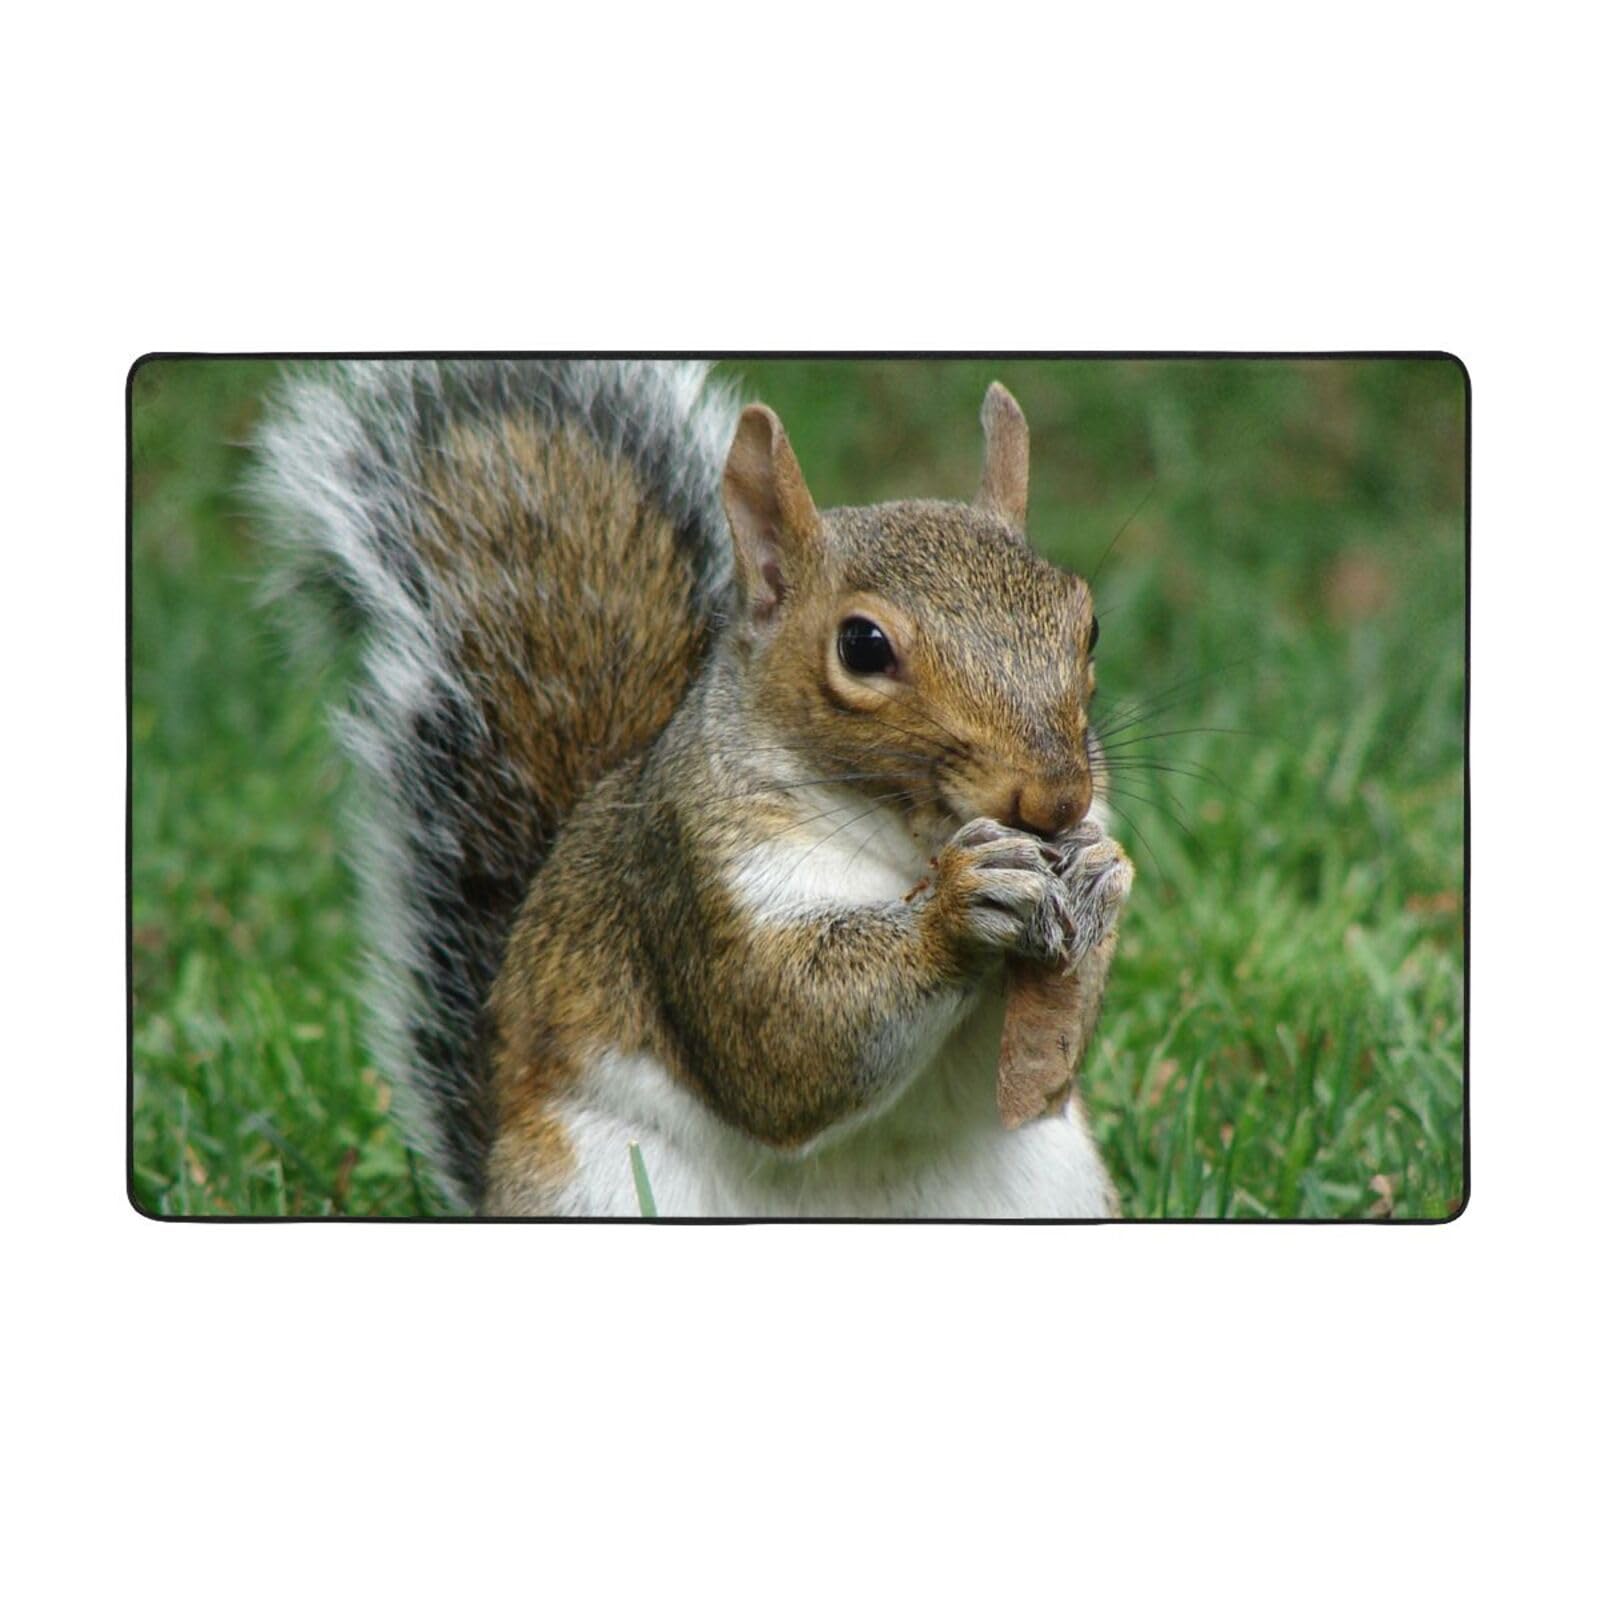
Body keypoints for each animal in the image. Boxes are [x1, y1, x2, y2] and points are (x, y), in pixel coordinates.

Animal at [258, 360, 1133, 1217]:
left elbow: (1039, 1075)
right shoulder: (688, 878)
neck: (906, 843)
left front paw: (1100, 874)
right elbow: (784, 1041)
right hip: (592, 1180)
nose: (1055, 800)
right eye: (861, 645)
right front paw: (960, 907)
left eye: (1088, 624)